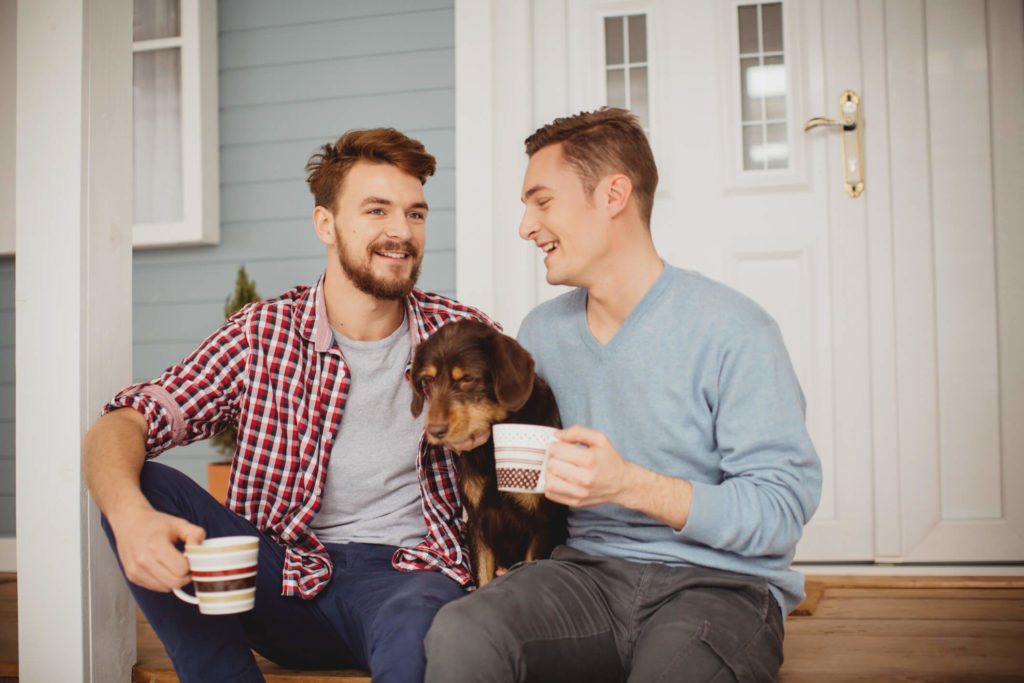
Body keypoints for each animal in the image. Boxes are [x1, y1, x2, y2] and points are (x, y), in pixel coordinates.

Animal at [409, 321, 569, 589]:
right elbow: (482, 578)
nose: (435, 430)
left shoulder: (542, 524)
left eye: (467, 379)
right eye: (427, 381)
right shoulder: (477, 521)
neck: (493, 442)